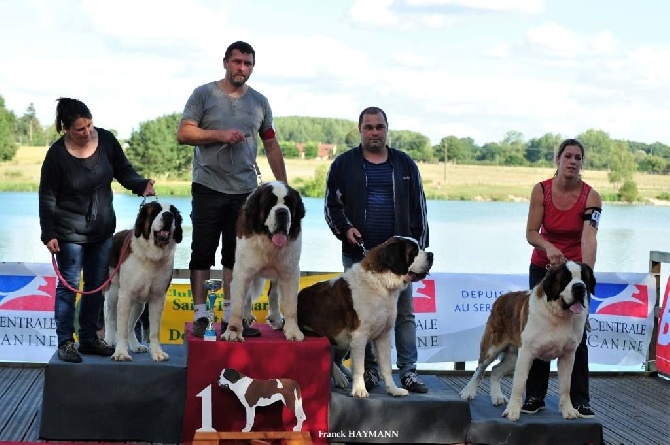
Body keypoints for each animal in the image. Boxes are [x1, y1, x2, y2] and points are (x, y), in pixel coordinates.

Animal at [103, 201, 182, 360]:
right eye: (156, 211)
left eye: (173, 213)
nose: (168, 215)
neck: (151, 256)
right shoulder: (125, 295)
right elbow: (120, 326)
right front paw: (121, 353)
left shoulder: (158, 298)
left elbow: (154, 330)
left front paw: (157, 352)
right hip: (114, 291)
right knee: (111, 316)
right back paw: (109, 340)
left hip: (139, 304)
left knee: (130, 325)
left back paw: (135, 345)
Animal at [224, 182, 308, 342]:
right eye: (270, 204)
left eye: (289, 204)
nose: (282, 212)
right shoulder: (243, 271)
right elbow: (237, 305)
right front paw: (233, 332)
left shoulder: (289, 271)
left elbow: (291, 306)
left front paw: (293, 331)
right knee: (247, 297)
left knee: (273, 294)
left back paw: (276, 317)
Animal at [298, 238, 436, 398]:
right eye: (413, 251)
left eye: (420, 247)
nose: (431, 255)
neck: (383, 284)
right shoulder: (359, 335)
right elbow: (360, 367)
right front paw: (359, 390)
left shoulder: (383, 336)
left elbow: (386, 367)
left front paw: (393, 389)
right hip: (321, 336)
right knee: (330, 359)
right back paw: (340, 377)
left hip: (343, 343)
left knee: (337, 360)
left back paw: (345, 374)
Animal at [460, 260, 596, 420]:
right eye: (565, 279)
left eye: (584, 278)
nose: (580, 287)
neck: (558, 315)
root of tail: (501, 297)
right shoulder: (526, 353)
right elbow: (519, 384)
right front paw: (512, 411)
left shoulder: (568, 355)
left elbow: (565, 386)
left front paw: (568, 410)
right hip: (492, 348)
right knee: (480, 368)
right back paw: (468, 392)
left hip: (513, 357)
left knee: (495, 370)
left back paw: (497, 397)